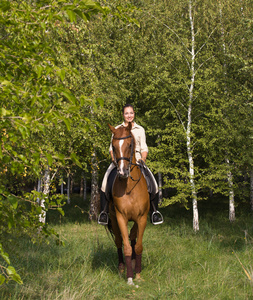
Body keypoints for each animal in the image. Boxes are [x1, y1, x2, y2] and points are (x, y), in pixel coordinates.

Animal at [107, 122, 150, 286]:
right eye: (113, 146)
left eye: (130, 144)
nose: (122, 172)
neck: (129, 187)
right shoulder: (120, 218)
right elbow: (126, 247)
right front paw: (130, 278)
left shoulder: (142, 218)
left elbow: (137, 247)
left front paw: (137, 274)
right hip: (113, 218)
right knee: (119, 241)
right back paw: (121, 268)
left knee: (133, 236)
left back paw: (132, 263)